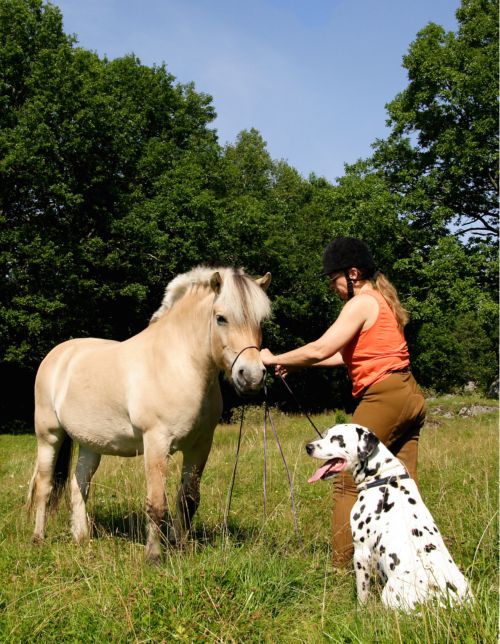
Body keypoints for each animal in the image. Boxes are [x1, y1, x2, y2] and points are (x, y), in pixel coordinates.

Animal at [27, 264, 272, 560]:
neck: (178, 363)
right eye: (221, 318)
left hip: (90, 444)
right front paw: (154, 556)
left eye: (261, 321)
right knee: (44, 486)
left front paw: (180, 547)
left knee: (78, 485)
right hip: (49, 436)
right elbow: (156, 503)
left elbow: (188, 499)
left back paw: (81, 538)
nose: (252, 377)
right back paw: (38, 538)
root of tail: (58, 354)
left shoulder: (200, 446)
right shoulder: (157, 442)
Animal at [304, 422, 472, 612]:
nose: (308, 447)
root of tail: (445, 602)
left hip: (389, 593)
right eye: (325, 435)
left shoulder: (361, 552)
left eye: (337, 438)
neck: (383, 477)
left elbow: (362, 592)